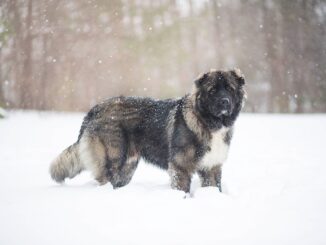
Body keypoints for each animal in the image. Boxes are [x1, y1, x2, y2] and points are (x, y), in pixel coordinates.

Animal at [49, 68, 246, 192]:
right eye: (212, 90)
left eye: (230, 89)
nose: (224, 102)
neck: (208, 121)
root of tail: (95, 109)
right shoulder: (180, 167)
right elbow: (182, 189)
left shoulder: (211, 167)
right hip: (113, 159)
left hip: (127, 167)